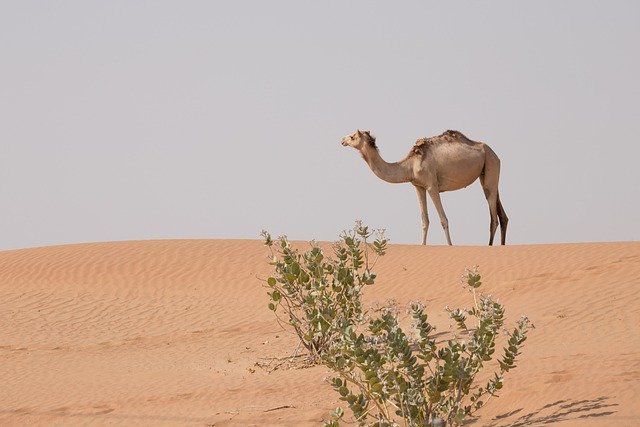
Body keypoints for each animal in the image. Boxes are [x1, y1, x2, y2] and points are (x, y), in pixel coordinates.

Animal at [342, 129, 508, 246]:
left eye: (352, 136)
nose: (342, 140)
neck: (410, 166)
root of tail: (493, 153)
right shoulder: (418, 186)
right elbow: (424, 220)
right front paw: (422, 245)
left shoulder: (431, 185)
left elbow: (443, 219)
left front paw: (450, 245)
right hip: (487, 172)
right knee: (501, 214)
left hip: (490, 164)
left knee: (493, 215)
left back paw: (490, 246)